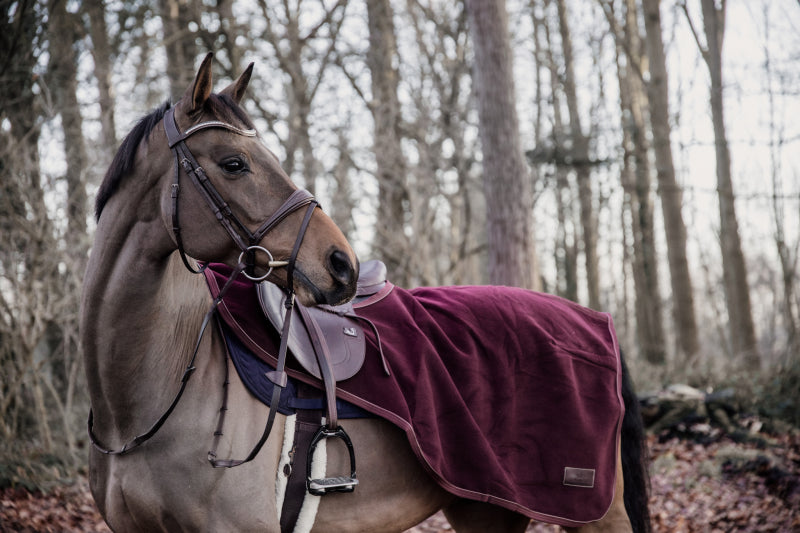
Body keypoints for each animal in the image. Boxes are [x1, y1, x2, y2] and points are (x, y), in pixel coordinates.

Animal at [81, 55, 648, 532]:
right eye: (234, 163)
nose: (342, 264)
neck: (145, 403)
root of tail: (597, 322)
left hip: (599, 516)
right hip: (487, 510)